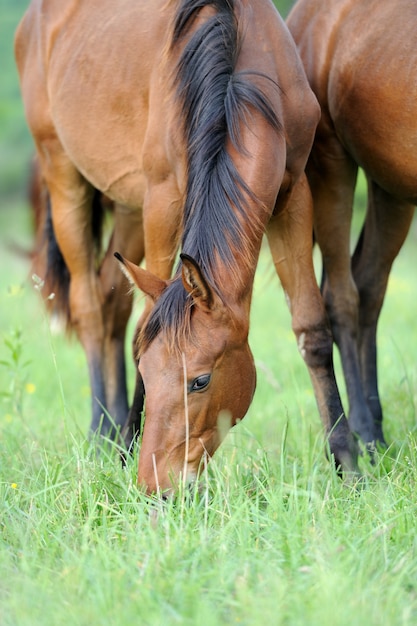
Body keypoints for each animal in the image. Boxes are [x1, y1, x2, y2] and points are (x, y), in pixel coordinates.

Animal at [14, 0, 356, 492]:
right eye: (146, 371)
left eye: (200, 381)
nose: (157, 487)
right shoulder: (163, 199)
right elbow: (143, 326)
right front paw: (127, 453)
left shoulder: (293, 195)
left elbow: (312, 326)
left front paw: (348, 464)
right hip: (64, 177)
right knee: (90, 308)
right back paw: (101, 437)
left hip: (128, 207)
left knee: (110, 301)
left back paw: (113, 433)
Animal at [286, 0, 416, 450]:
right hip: (332, 165)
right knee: (343, 298)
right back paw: (365, 434)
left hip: (390, 186)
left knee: (370, 288)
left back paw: (375, 426)